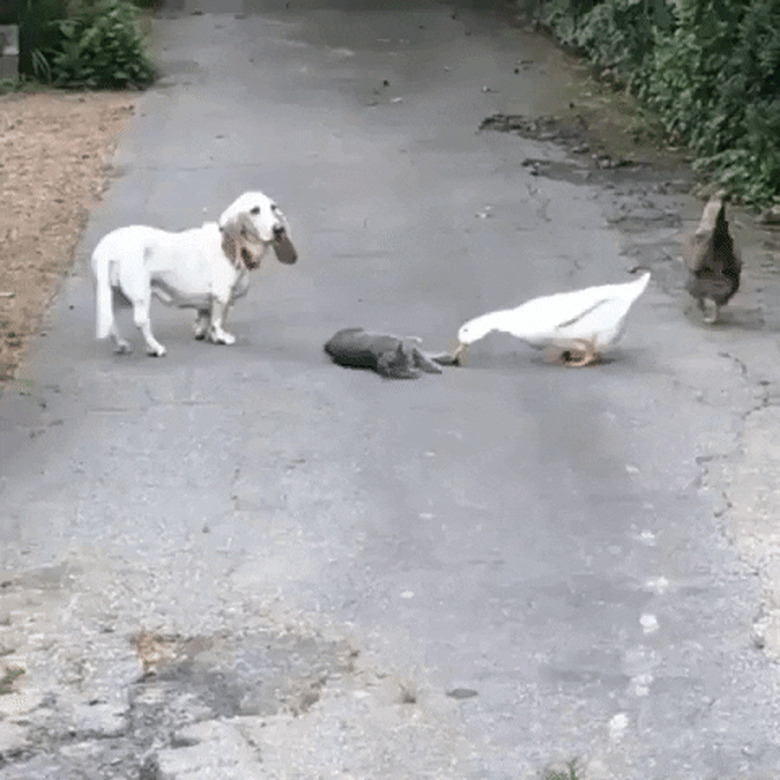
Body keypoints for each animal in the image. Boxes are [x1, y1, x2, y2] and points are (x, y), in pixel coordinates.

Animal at [91, 192, 298, 356]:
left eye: (273, 207)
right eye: (255, 210)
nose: (278, 229)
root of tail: (105, 247)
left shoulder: (208, 301)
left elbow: (205, 317)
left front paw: (205, 334)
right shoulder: (222, 295)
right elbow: (218, 320)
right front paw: (221, 337)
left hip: (116, 296)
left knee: (111, 321)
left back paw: (122, 345)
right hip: (140, 295)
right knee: (141, 322)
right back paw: (155, 348)